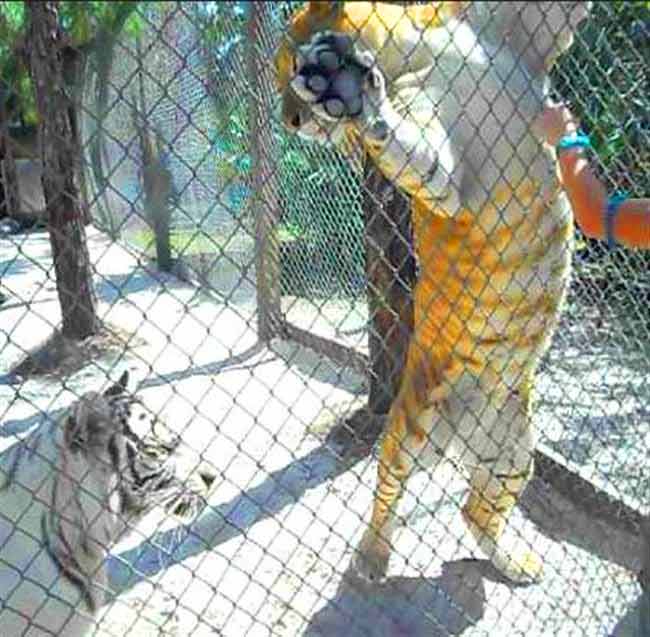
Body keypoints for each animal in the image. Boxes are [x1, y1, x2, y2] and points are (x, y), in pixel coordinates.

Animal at [274, 2, 588, 584]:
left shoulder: (528, 29)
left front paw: (338, 77)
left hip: (513, 454)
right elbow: (406, 148)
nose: (291, 121)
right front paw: (343, 86)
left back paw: (516, 563)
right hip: (411, 429)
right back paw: (372, 558)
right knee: (387, 493)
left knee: (474, 512)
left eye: (287, 73)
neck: (424, 50)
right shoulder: (446, 177)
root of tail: (461, 441)